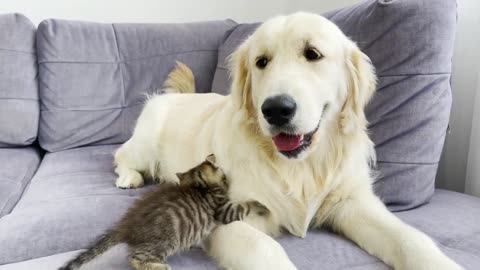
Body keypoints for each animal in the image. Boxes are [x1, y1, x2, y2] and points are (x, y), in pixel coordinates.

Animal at [59, 154, 266, 270]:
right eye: (223, 175)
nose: (226, 178)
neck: (200, 187)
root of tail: (126, 225)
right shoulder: (222, 210)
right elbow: (243, 206)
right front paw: (261, 205)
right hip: (164, 242)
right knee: (136, 258)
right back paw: (159, 267)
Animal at [114, 12, 464, 270]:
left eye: (313, 54)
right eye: (261, 61)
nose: (276, 109)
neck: (300, 167)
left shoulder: (352, 202)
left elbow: (411, 238)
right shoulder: (226, 215)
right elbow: (265, 249)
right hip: (144, 146)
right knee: (120, 157)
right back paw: (129, 178)